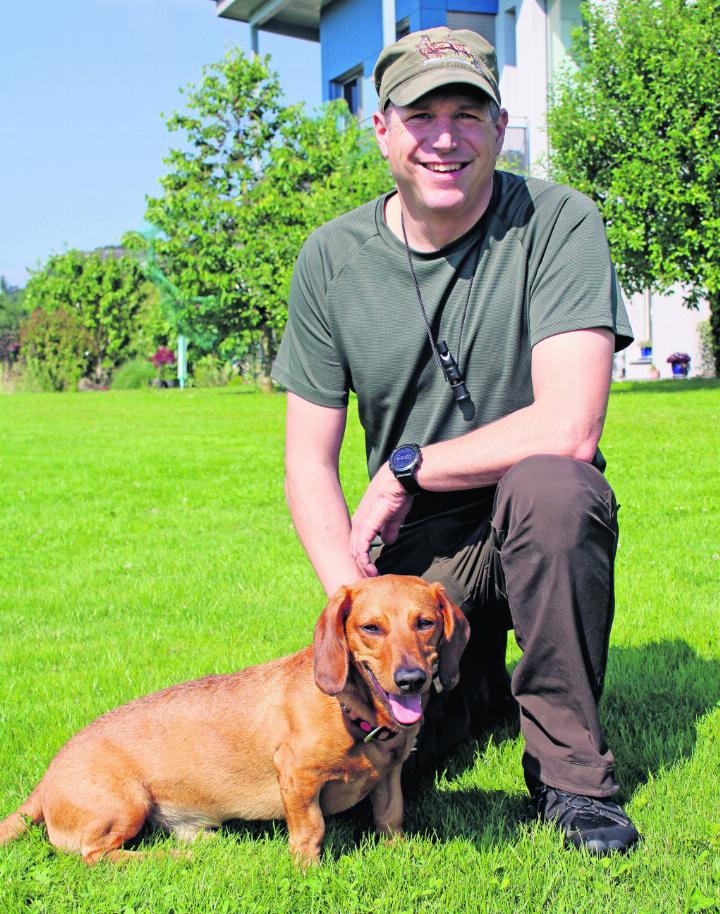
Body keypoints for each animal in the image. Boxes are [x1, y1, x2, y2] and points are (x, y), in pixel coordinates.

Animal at [0, 572, 470, 864]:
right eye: (371, 628)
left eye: (425, 623)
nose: (411, 680)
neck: (352, 715)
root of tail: (45, 782)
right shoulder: (297, 780)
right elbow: (311, 831)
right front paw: (309, 872)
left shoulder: (391, 777)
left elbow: (391, 818)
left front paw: (404, 852)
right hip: (126, 805)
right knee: (96, 857)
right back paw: (172, 858)